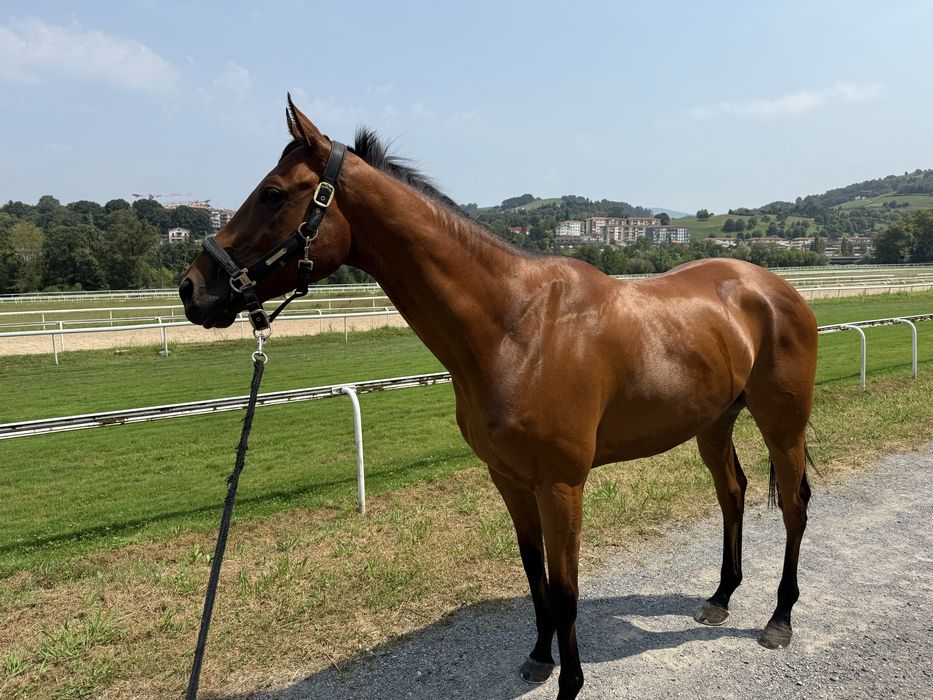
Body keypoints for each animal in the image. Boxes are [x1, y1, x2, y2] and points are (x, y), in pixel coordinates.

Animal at [180, 98, 817, 699]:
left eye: (272, 193)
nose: (193, 289)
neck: (516, 327)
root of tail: (775, 288)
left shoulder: (561, 484)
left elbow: (565, 588)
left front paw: (570, 683)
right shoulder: (509, 479)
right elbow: (534, 575)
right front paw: (539, 658)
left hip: (782, 424)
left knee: (793, 504)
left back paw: (779, 619)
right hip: (714, 423)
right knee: (732, 494)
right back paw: (721, 597)